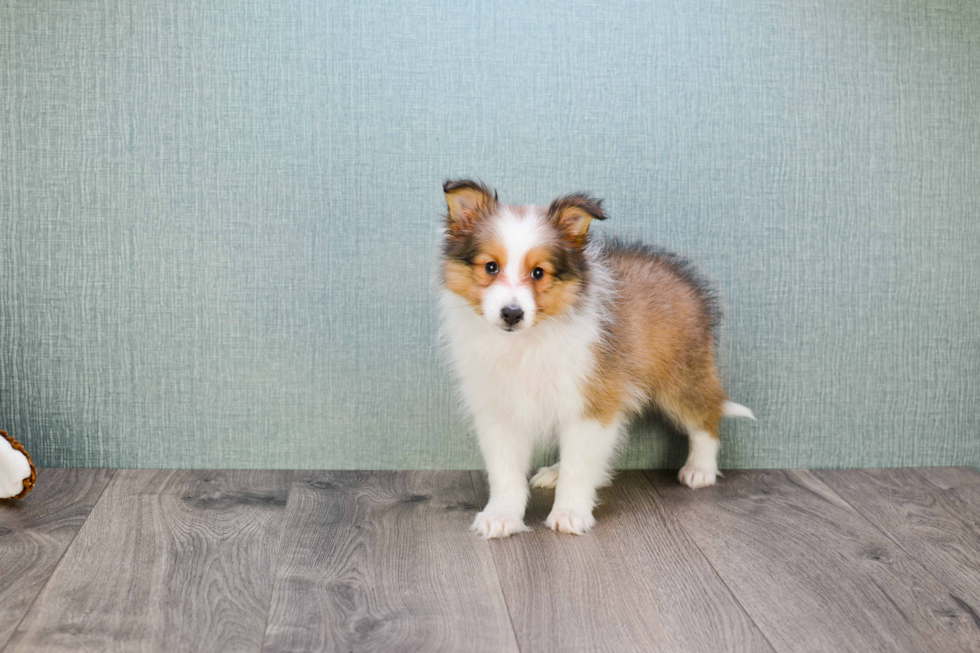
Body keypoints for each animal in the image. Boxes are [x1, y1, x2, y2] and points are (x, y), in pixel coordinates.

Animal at [440, 178, 756, 536]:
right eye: (490, 267)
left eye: (538, 273)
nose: (511, 314)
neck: (527, 342)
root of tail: (679, 274)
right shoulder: (499, 410)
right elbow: (505, 471)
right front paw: (501, 516)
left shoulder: (594, 404)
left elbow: (579, 466)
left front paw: (570, 513)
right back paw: (554, 472)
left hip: (682, 375)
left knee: (707, 415)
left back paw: (700, 469)